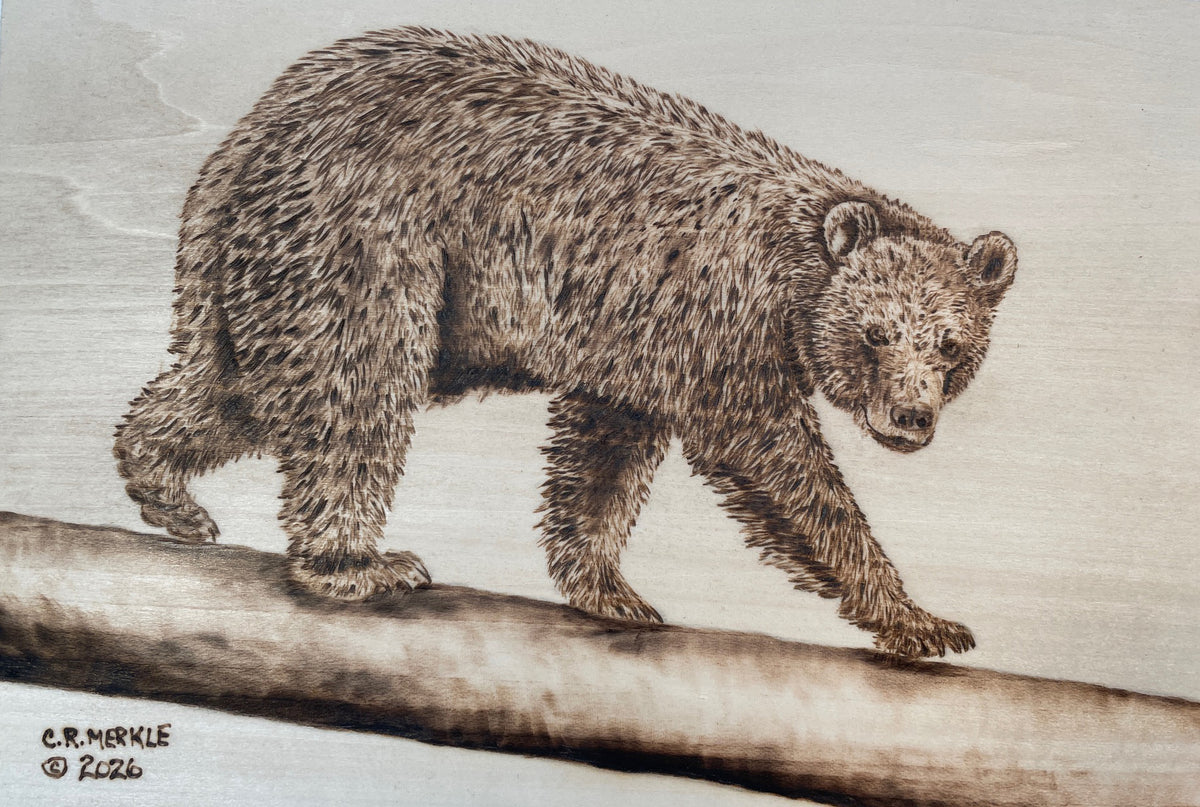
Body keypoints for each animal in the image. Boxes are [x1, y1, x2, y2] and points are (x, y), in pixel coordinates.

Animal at [113, 27, 1018, 658]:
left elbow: (602, 455)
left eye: (949, 344)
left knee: (237, 387)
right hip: (365, 239)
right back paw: (353, 561)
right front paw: (920, 616)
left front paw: (607, 584)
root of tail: (247, 137)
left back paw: (164, 485)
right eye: (876, 332)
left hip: (270, 267)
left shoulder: (636, 340)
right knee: (355, 388)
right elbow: (775, 458)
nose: (911, 417)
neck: (796, 266)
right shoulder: (723, 318)